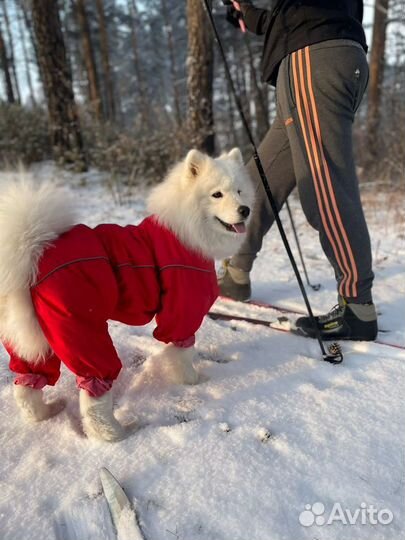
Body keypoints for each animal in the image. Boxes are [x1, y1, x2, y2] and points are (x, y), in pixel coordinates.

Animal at [0, 147, 252, 438]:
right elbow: (182, 354)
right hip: (84, 332)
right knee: (93, 398)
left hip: (38, 339)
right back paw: (117, 433)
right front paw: (193, 381)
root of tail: (32, 251)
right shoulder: (182, 312)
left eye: (240, 191)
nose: (245, 210)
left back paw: (47, 412)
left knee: (27, 386)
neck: (185, 229)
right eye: (217, 194)